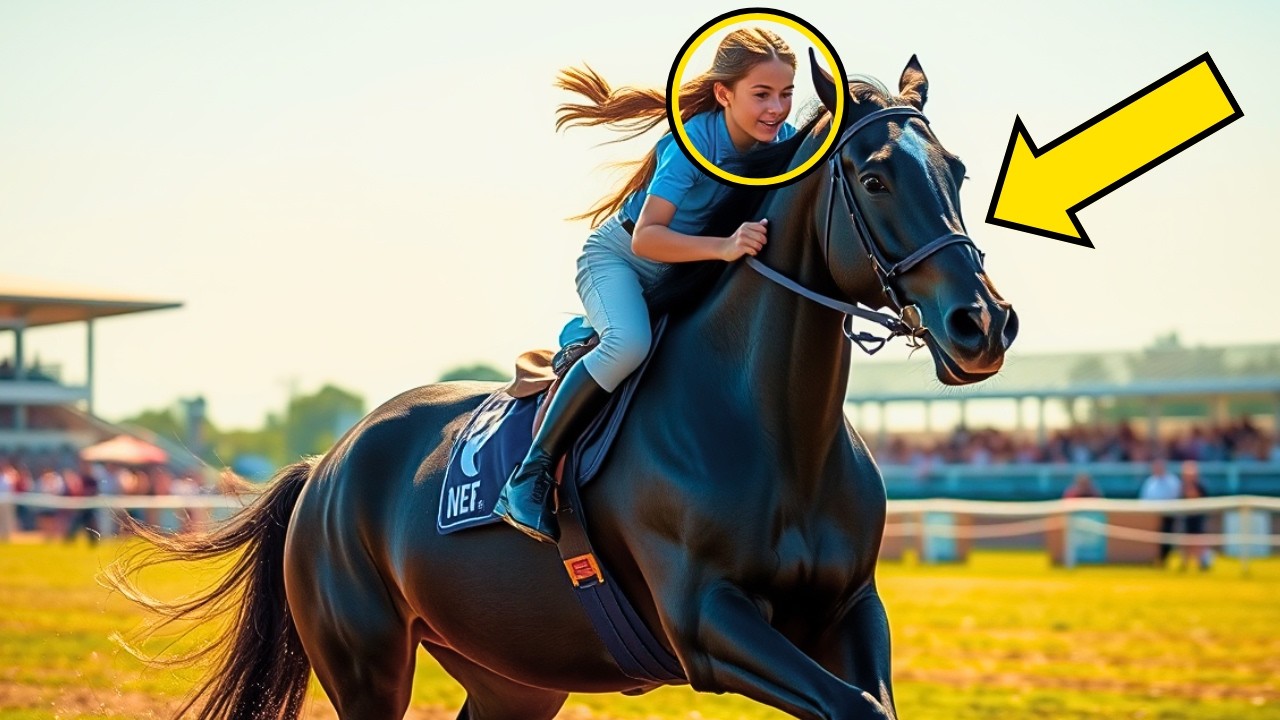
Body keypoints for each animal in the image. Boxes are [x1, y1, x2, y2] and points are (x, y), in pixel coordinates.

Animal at [111, 53, 1016, 720]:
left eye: (960, 171)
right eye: (873, 178)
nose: (983, 323)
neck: (770, 428)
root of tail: (322, 469)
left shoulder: (849, 607)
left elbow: (871, 702)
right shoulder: (707, 622)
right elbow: (849, 704)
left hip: (515, 675)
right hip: (366, 662)